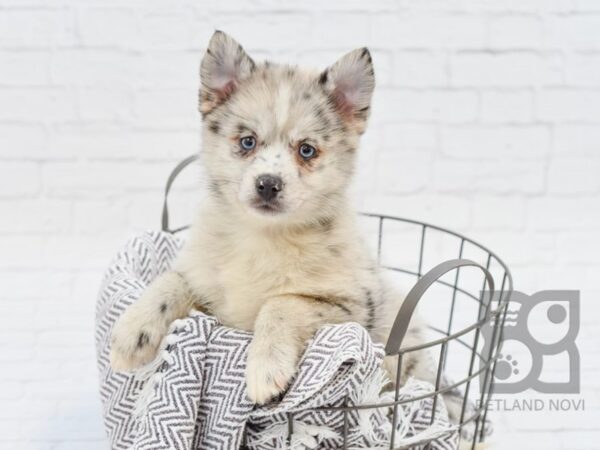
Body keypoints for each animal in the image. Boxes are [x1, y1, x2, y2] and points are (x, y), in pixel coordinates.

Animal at [109, 30, 426, 404]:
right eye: (248, 142)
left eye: (307, 150)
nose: (268, 184)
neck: (263, 236)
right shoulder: (204, 284)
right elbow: (172, 281)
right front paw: (131, 333)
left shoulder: (353, 308)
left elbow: (281, 303)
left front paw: (266, 368)